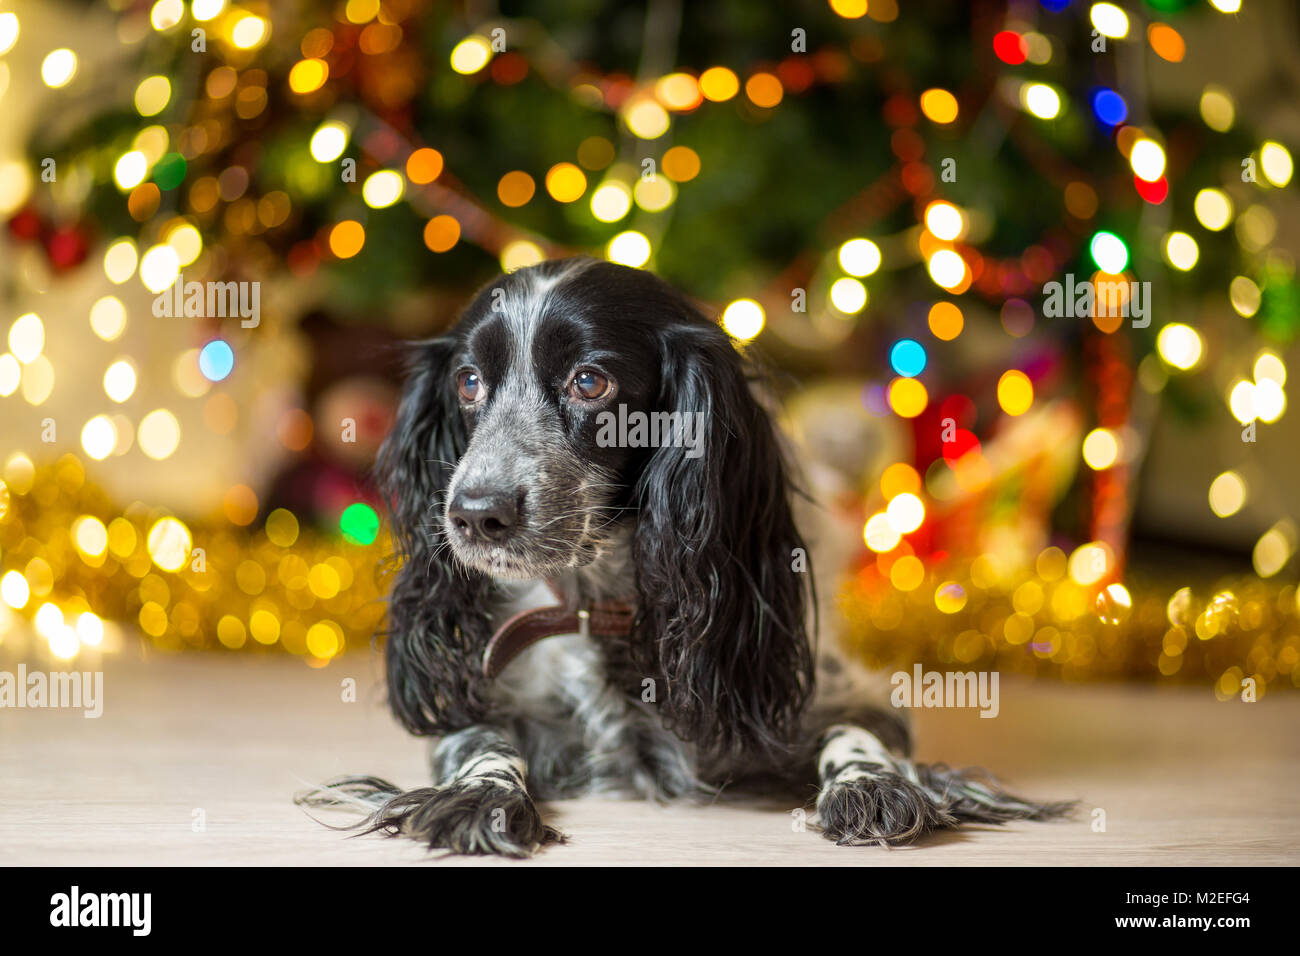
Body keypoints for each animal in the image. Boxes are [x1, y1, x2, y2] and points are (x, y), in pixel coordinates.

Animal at [299, 257, 1071, 858]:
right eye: (467, 383)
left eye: (590, 381)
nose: (473, 515)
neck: (599, 602)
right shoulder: (483, 703)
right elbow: (480, 741)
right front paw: (478, 797)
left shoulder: (832, 692)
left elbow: (857, 734)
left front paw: (872, 785)